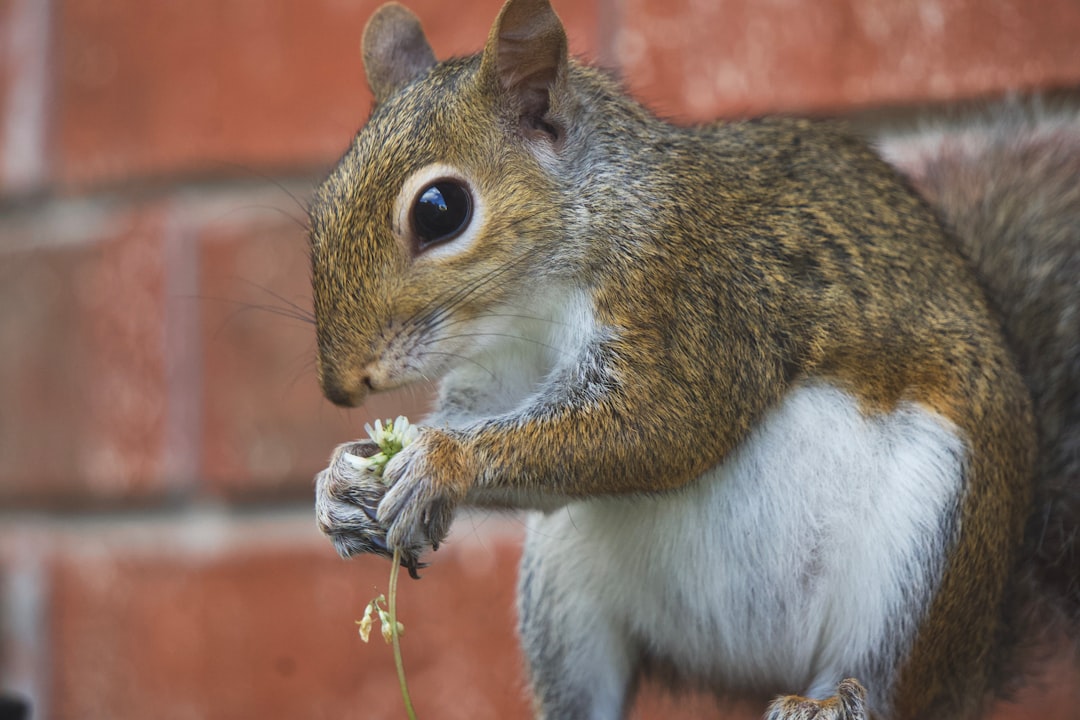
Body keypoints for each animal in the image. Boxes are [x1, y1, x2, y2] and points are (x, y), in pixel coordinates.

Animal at [309, 0, 1079, 718]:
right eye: (321, 202)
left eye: (440, 209)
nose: (342, 388)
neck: (530, 303)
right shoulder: (502, 371)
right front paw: (343, 482)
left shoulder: (695, 298)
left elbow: (660, 425)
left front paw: (441, 463)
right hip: (563, 595)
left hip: (923, 561)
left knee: (884, 682)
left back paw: (830, 700)